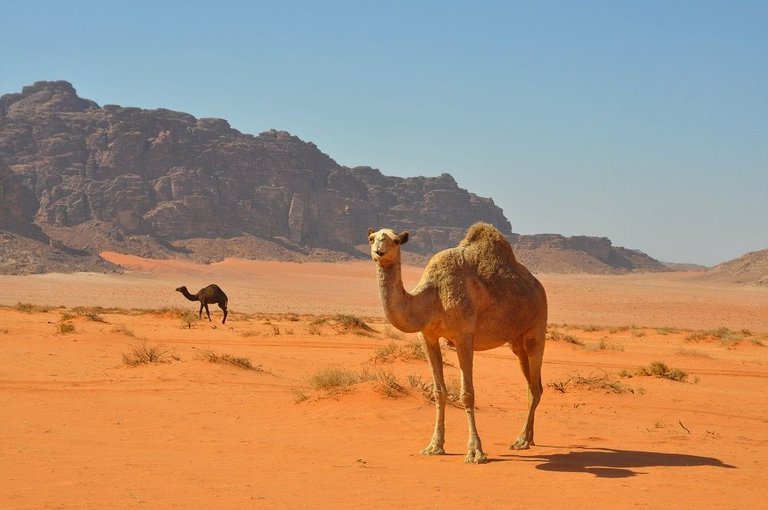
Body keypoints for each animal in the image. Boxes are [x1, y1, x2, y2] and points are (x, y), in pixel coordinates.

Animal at [368, 222, 548, 462]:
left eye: (396, 241)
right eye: (372, 238)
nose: (379, 252)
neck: (432, 296)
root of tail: (538, 286)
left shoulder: (464, 336)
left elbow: (467, 394)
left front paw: (475, 452)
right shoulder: (427, 337)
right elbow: (439, 392)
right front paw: (434, 446)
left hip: (536, 328)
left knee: (535, 385)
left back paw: (520, 440)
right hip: (516, 341)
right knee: (531, 384)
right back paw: (529, 438)